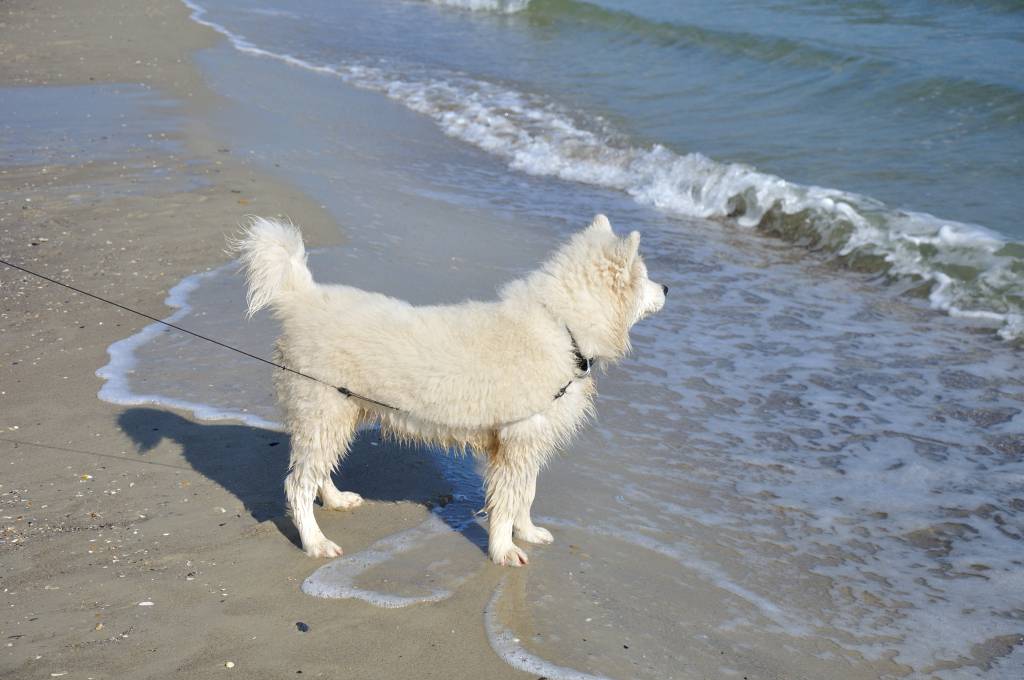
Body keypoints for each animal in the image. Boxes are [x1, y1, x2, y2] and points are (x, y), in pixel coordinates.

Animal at [230, 215, 666, 566]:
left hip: (339, 412)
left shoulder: (529, 440)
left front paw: (528, 532)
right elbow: (506, 502)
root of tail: (302, 299)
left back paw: (336, 500)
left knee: (319, 471)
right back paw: (316, 542)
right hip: (322, 410)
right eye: (644, 276)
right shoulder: (516, 441)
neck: (563, 326)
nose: (666, 288)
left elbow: (526, 494)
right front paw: (504, 551)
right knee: (297, 485)